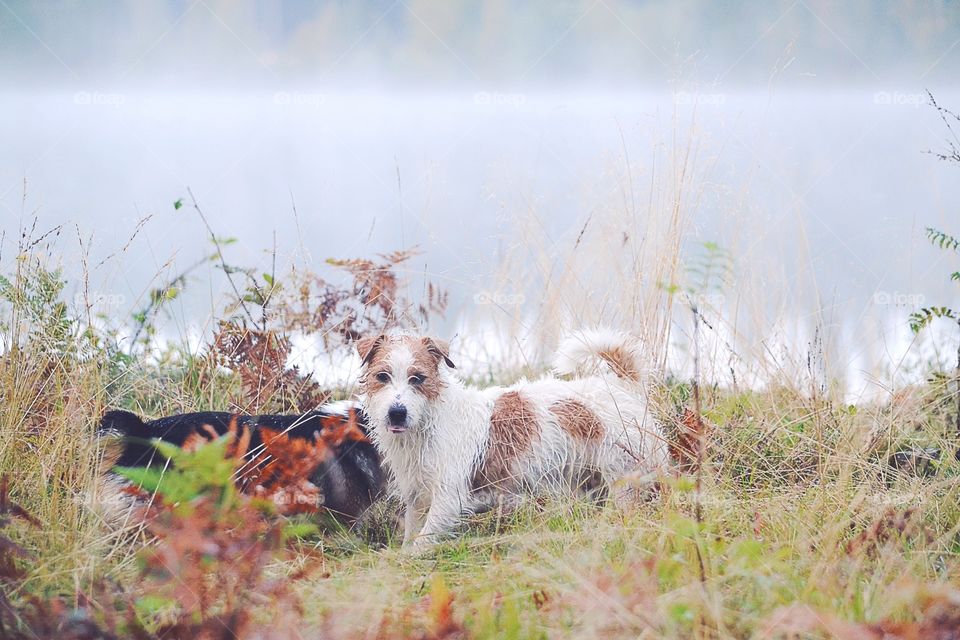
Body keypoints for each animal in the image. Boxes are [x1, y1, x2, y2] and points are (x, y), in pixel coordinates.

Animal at [358, 330, 668, 544]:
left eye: (418, 378)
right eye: (382, 376)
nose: (397, 413)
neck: (431, 420)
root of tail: (623, 386)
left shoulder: (447, 497)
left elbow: (425, 537)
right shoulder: (417, 495)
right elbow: (411, 533)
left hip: (624, 476)